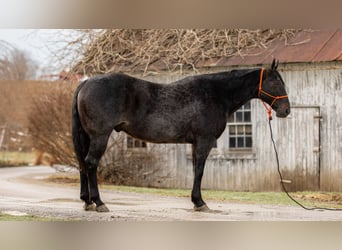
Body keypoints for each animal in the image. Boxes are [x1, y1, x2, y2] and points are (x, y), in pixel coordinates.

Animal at [71, 59, 290, 213]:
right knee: (90, 163)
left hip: (88, 137)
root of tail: (86, 83)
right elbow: (199, 170)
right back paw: (99, 202)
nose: (286, 110)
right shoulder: (204, 141)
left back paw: (87, 202)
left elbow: (195, 170)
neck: (216, 94)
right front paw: (200, 202)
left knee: (82, 163)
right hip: (100, 136)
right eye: (275, 82)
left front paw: (196, 201)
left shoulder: (195, 143)